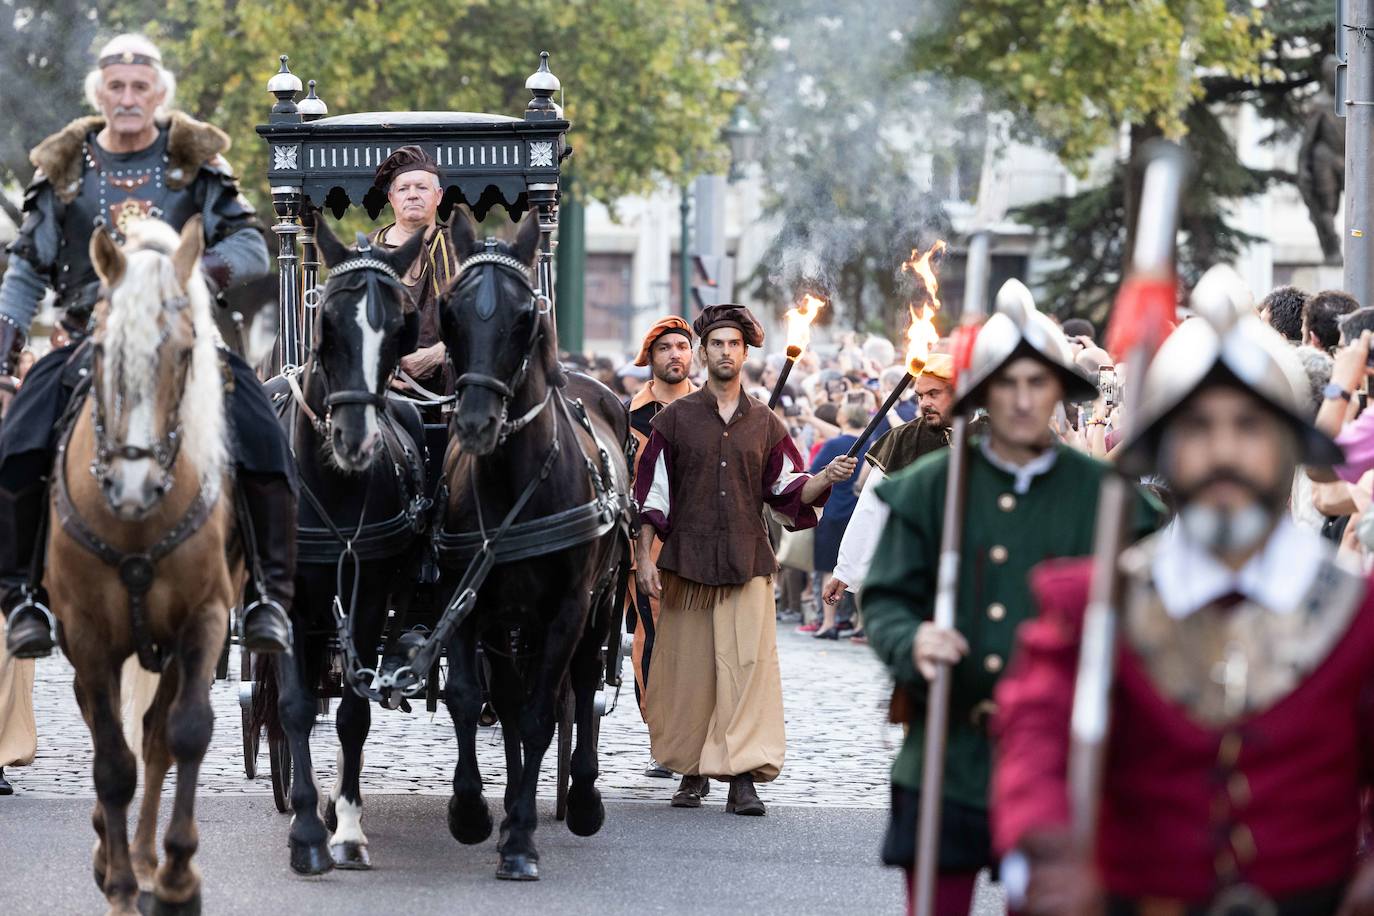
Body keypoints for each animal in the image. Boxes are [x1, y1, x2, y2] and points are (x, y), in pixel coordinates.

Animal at [251, 218, 428, 878]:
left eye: (402, 326)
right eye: (324, 319)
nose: (356, 439)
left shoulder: (369, 593)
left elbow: (354, 710)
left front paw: (348, 827)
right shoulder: (286, 599)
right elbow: (298, 706)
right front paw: (306, 831)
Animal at [436, 207, 629, 878]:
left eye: (526, 316)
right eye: (448, 311)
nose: (475, 422)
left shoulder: (567, 609)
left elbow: (545, 712)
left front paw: (521, 840)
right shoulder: (467, 602)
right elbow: (470, 698)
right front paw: (472, 813)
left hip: (599, 606)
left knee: (583, 683)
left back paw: (583, 799)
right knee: (511, 701)